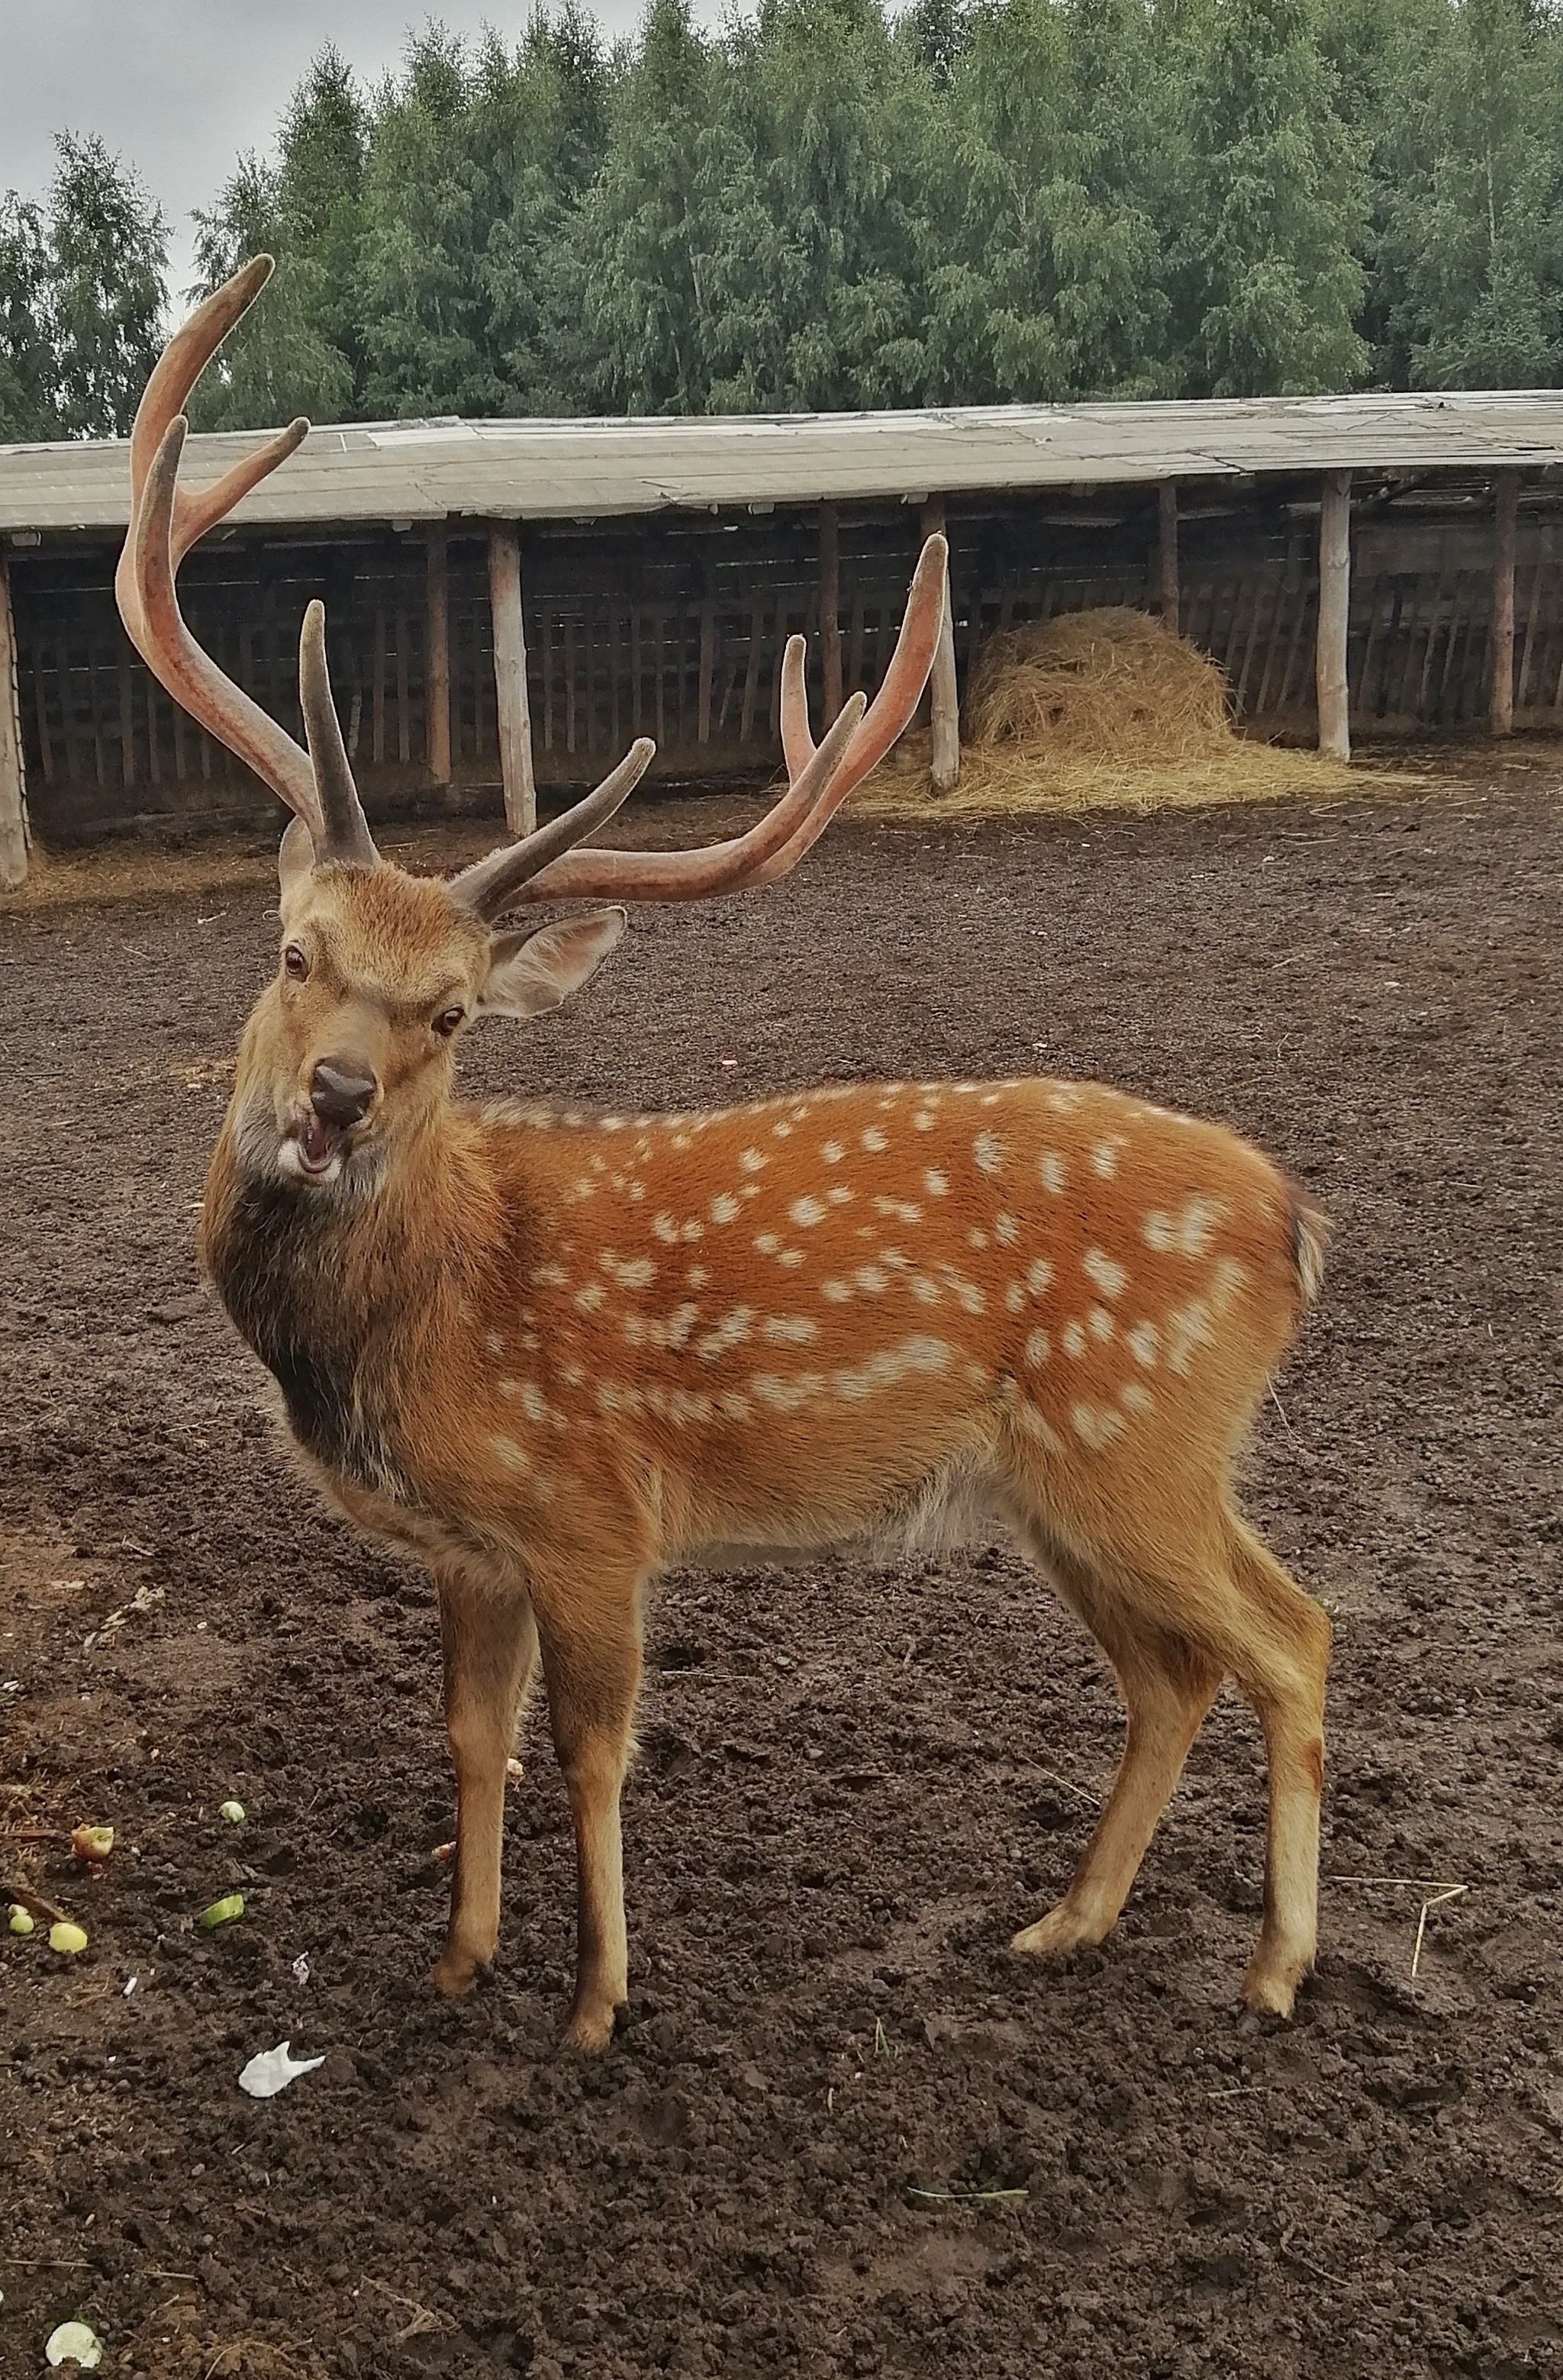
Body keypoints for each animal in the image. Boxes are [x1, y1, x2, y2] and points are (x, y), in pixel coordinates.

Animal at [118, 256, 1332, 2047]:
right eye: (294, 950)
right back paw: (1063, 1920)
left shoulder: (590, 1510)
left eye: (454, 1012)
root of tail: (1293, 1219)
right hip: (1077, 1480)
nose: (332, 1096)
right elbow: (469, 1739)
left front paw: (595, 2000)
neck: (420, 1326)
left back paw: (1274, 1962)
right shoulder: (472, 1549)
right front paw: (457, 1958)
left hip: (1145, 1441)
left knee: (1291, 1631)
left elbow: (591, 1750)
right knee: (1178, 1666)